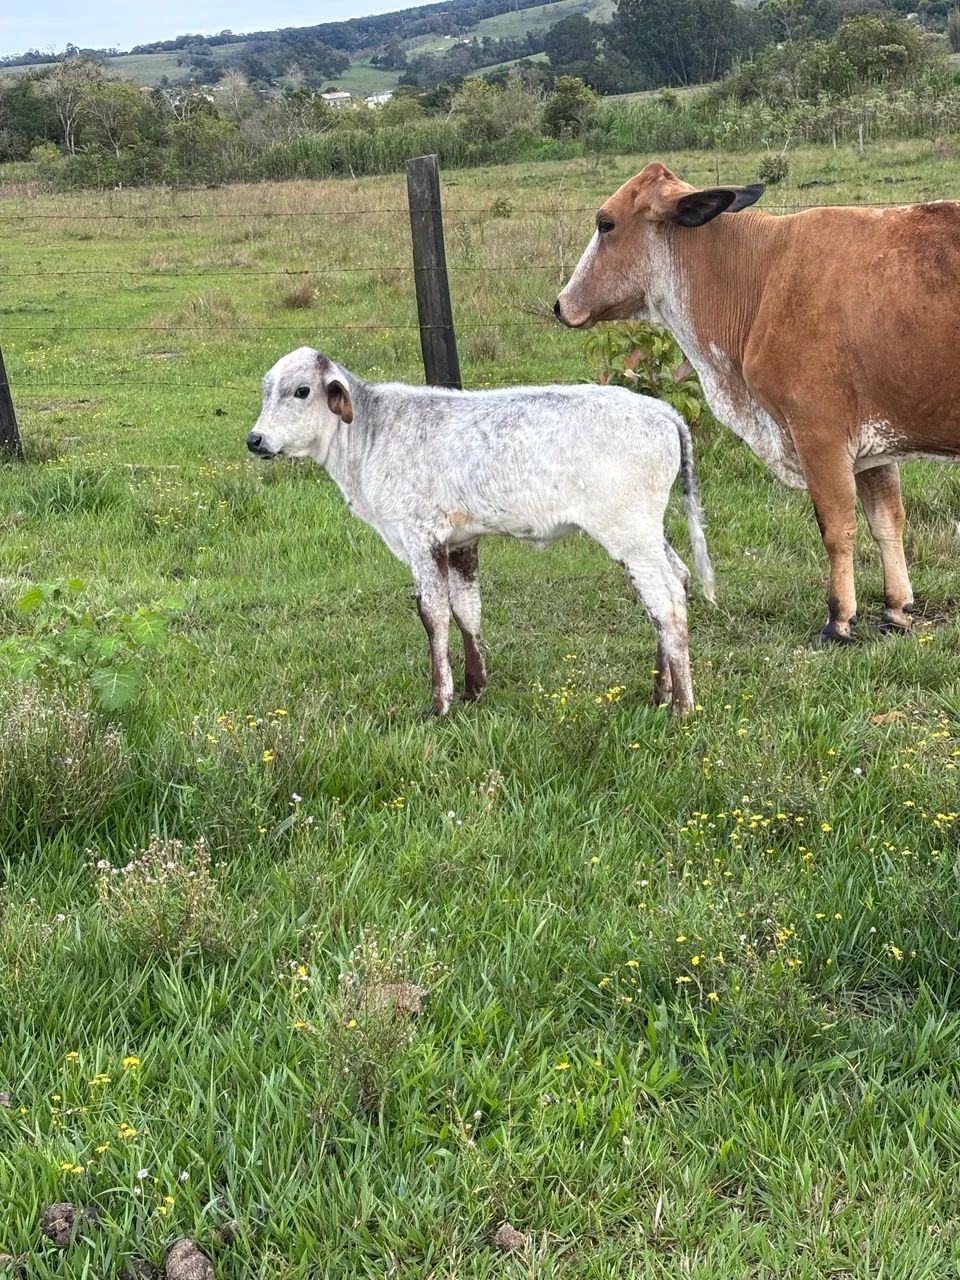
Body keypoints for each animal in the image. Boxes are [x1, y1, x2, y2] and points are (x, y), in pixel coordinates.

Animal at [554, 160, 960, 643]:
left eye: (606, 224)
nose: (560, 304)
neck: (764, 274)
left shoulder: (818, 433)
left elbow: (837, 527)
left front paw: (839, 619)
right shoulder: (873, 446)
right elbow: (887, 521)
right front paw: (897, 610)